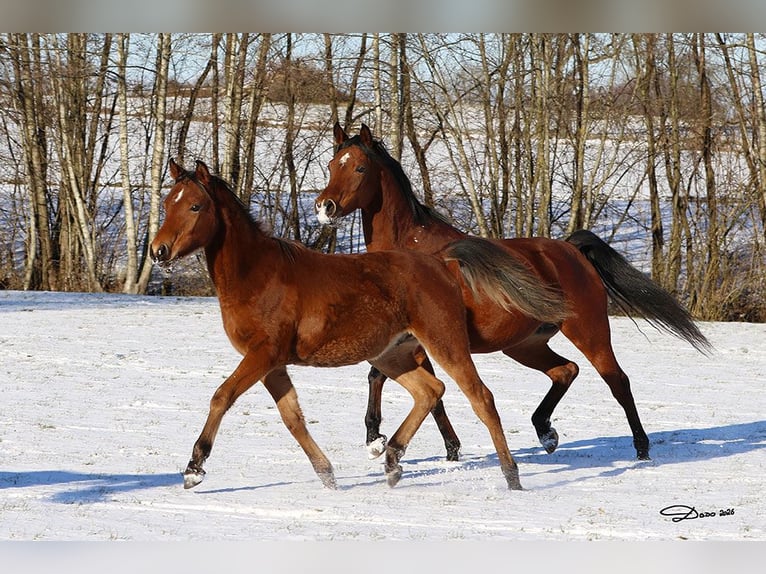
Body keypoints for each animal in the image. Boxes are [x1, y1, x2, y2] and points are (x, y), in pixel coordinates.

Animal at [150, 158, 568, 491]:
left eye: (195, 205)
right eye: (167, 203)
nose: (158, 251)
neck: (259, 276)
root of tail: (442, 264)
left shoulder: (262, 354)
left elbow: (222, 396)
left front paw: (194, 469)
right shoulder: (273, 364)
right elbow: (293, 418)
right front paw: (328, 475)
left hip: (444, 343)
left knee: (481, 398)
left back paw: (512, 477)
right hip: (392, 355)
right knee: (430, 390)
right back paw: (392, 460)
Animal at [315, 122, 712, 463]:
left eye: (360, 168)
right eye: (332, 164)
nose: (324, 207)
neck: (411, 249)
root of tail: (570, 250)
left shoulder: (423, 339)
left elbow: (388, 378)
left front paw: (377, 440)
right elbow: (421, 389)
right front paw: (447, 449)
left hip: (589, 331)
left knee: (617, 381)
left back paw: (641, 449)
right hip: (525, 343)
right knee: (565, 370)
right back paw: (546, 433)